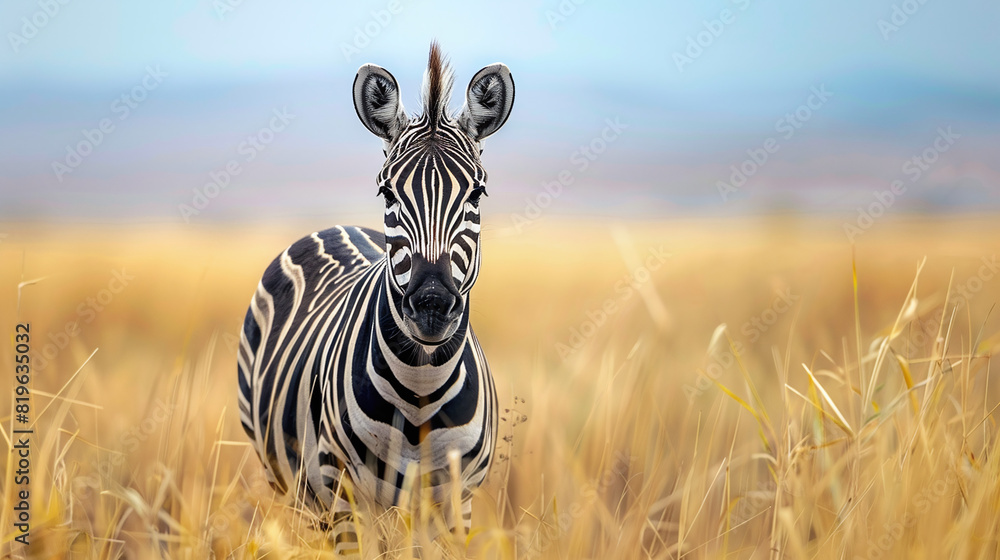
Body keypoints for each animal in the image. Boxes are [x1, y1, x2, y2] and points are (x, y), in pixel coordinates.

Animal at [237, 42, 514, 556]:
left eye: (477, 193)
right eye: (387, 192)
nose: (431, 305)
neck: (421, 388)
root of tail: (335, 227)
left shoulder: (455, 498)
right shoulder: (341, 489)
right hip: (292, 482)